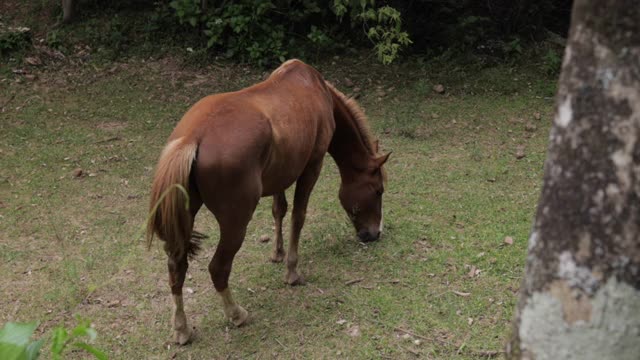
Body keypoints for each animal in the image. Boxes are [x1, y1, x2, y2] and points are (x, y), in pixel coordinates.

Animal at [146, 58, 390, 344]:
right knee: (218, 268)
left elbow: (279, 210)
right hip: (235, 224)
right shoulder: (312, 166)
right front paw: (292, 270)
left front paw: (277, 253)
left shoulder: (281, 174)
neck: (316, 89)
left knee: (177, 267)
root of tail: (193, 137)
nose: (374, 233)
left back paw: (182, 328)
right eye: (378, 191)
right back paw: (236, 314)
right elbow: (298, 216)